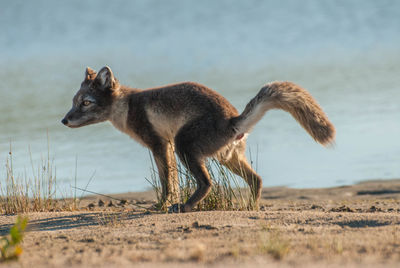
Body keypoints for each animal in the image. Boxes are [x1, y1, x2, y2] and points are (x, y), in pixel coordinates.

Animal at [62, 66, 336, 213]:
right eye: (74, 101)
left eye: (85, 103)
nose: (63, 121)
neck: (127, 106)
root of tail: (232, 120)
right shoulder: (165, 147)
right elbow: (171, 182)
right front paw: (164, 203)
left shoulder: (161, 145)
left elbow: (167, 183)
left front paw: (162, 205)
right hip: (227, 158)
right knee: (256, 179)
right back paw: (251, 207)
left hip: (185, 147)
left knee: (207, 183)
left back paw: (185, 207)